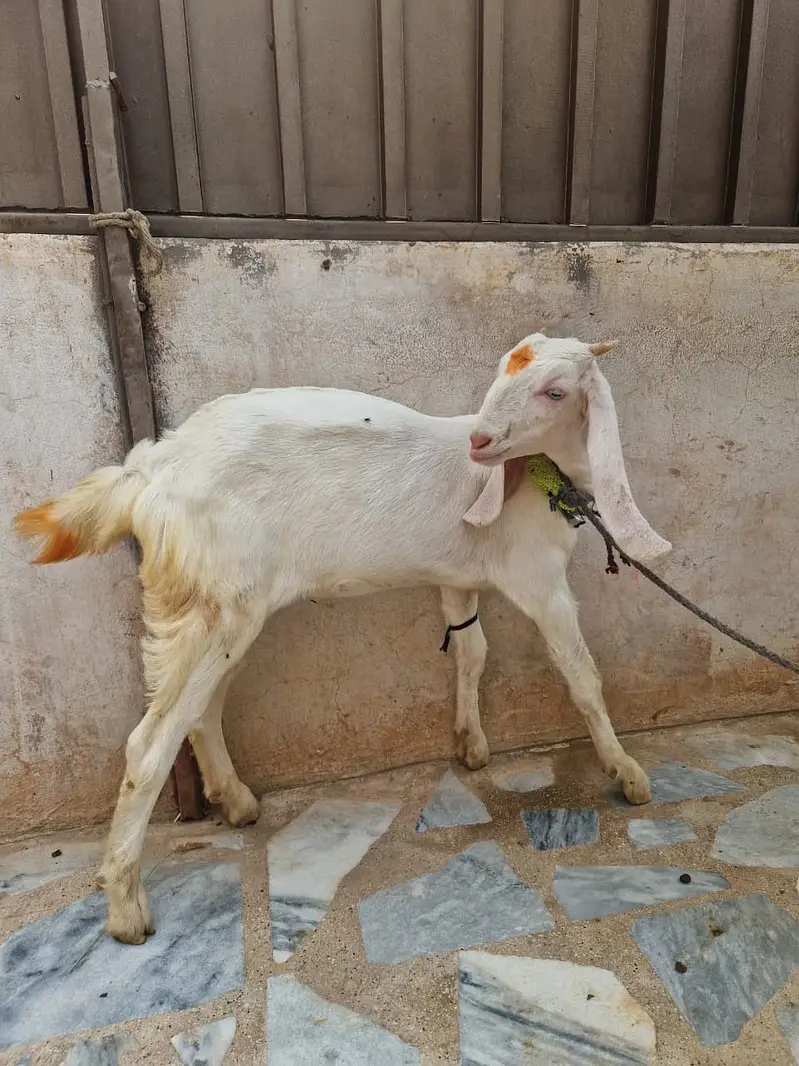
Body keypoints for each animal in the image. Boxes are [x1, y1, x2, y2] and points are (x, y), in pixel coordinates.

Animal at [14, 333, 670, 944]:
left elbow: (471, 651)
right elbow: (581, 673)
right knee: (149, 745)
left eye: (555, 392)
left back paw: (237, 802)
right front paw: (626, 772)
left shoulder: (457, 579)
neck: (540, 475)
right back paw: (126, 906)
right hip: (213, 605)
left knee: (202, 710)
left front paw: (471, 744)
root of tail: (150, 468)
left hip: (228, 612)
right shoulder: (540, 581)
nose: (479, 442)